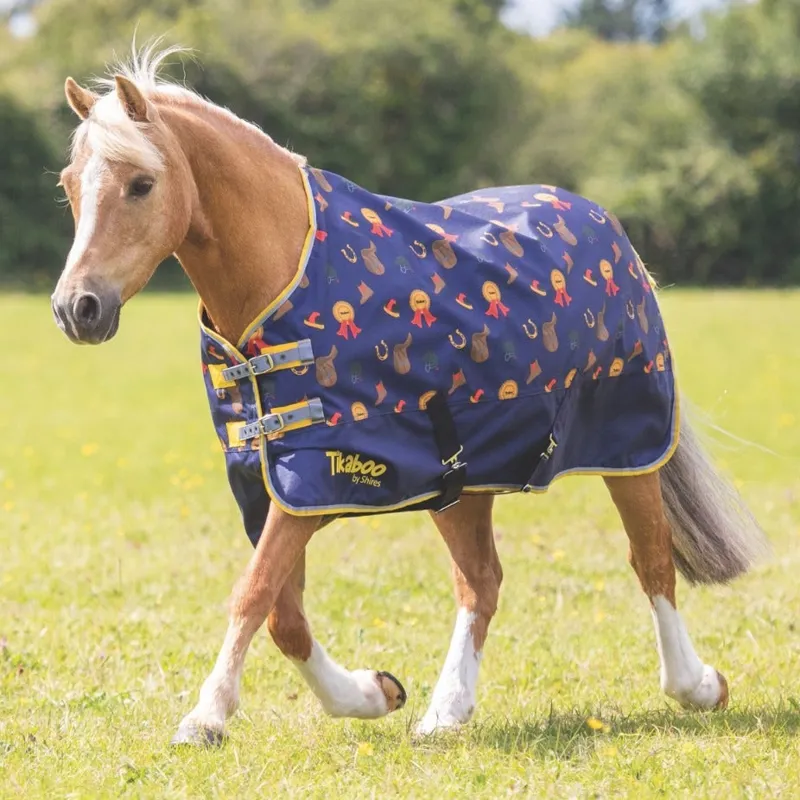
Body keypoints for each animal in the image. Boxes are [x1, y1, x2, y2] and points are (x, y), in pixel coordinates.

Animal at [51, 46, 767, 746]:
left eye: (141, 185)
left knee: (651, 562)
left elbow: (253, 593)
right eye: (69, 186)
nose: (76, 308)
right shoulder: (271, 484)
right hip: (463, 481)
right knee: (481, 583)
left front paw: (206, 718)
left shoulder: (316, 478)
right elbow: (285, 614)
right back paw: (446, 711)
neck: (285, 280)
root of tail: (603, 224)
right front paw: (373, 693)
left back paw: (699, 686)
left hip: (630, 447)